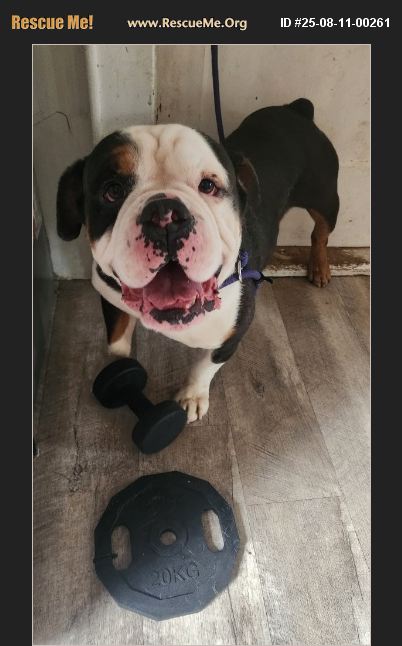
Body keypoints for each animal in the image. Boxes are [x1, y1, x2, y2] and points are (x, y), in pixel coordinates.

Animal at [57, 98, 339, 422]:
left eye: (208, 186)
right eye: (112, 191)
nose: (165, 214)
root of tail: (296, 109)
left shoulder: (232, 334)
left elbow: (206, 366)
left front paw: (191, 396)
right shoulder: (110, 298)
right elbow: (116, 341)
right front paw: (119, 368)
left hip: (325, 198)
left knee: (320, 231)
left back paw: (320, 267)